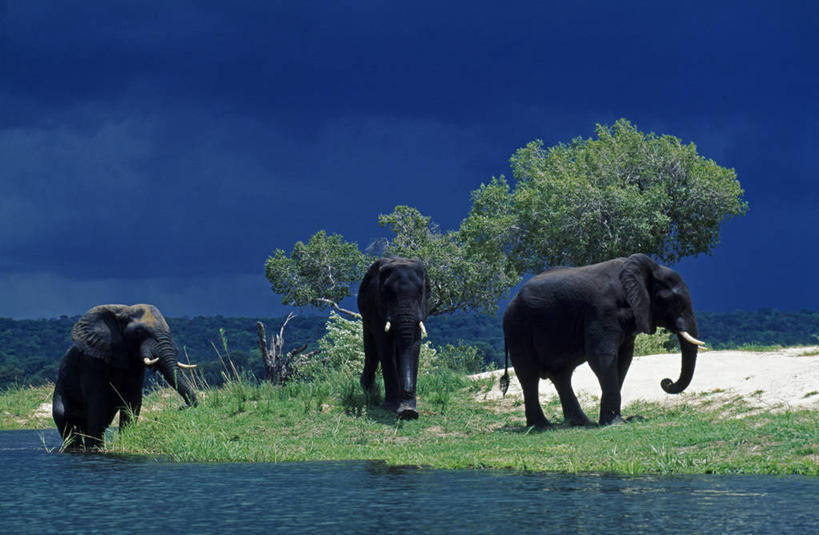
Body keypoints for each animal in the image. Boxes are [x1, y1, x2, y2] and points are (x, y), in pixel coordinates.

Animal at [52, 304, 198, 450]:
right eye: (139, 332)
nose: (181, 407)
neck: (123, 311)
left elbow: (132, 402)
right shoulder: (91, 362)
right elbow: (98, 403)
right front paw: (95, 449)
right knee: (64, 418)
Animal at [360, 258, 432, 420]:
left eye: (420, 292)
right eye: (388, 294)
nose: (408, 412)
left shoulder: (421, 310)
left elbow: (413, 346)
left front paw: (409, 409)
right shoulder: (376, 306)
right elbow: (384, 347)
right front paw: (392, 407)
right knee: (371, 352)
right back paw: (368, 390)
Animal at [502, 253, 708, 430]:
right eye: (675, 301)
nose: (666, 382)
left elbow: (624, 360)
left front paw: (613, 420)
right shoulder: (601, 310)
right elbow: (602, 356)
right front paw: (615, 423)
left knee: (561, 374)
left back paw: (580, 423)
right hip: (517, 328)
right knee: (529, 375)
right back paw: (542, 427)